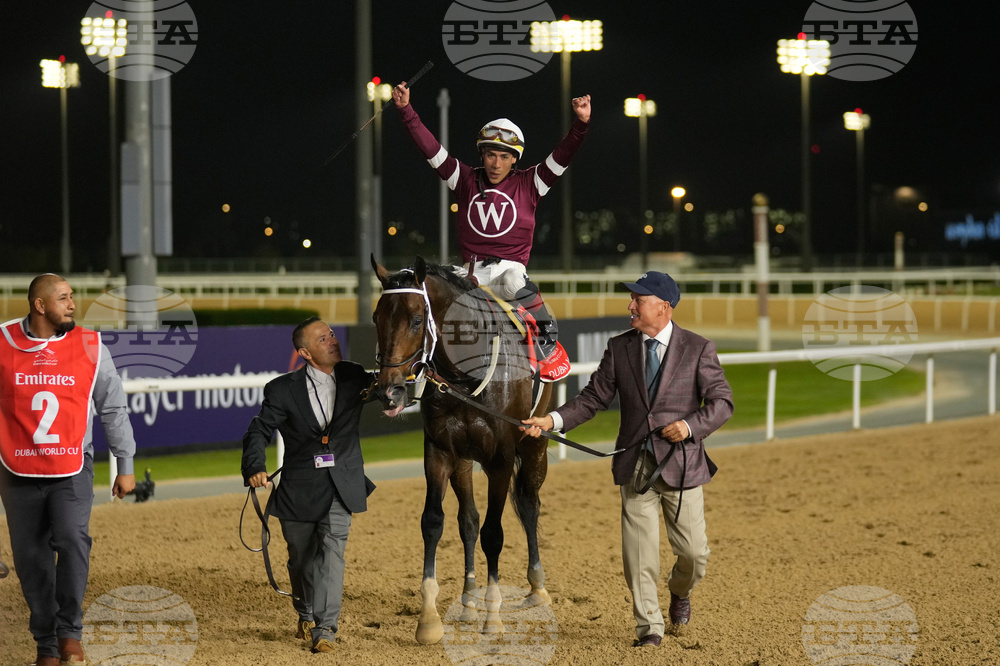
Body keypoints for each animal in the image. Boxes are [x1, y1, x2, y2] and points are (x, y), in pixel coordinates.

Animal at [370, 255, 553, 644]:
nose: (388, 391)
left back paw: (536, 587)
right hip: (465, 461)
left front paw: (493, 619)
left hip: (536, 443)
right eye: (377, 317)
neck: (467, 379)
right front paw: (428, 620)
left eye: (416, 319)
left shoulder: (501, 459)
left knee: (529, 506)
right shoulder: (440, 452)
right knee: (468, 520)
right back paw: (469, 603)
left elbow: (494, 533)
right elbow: (434, 522)